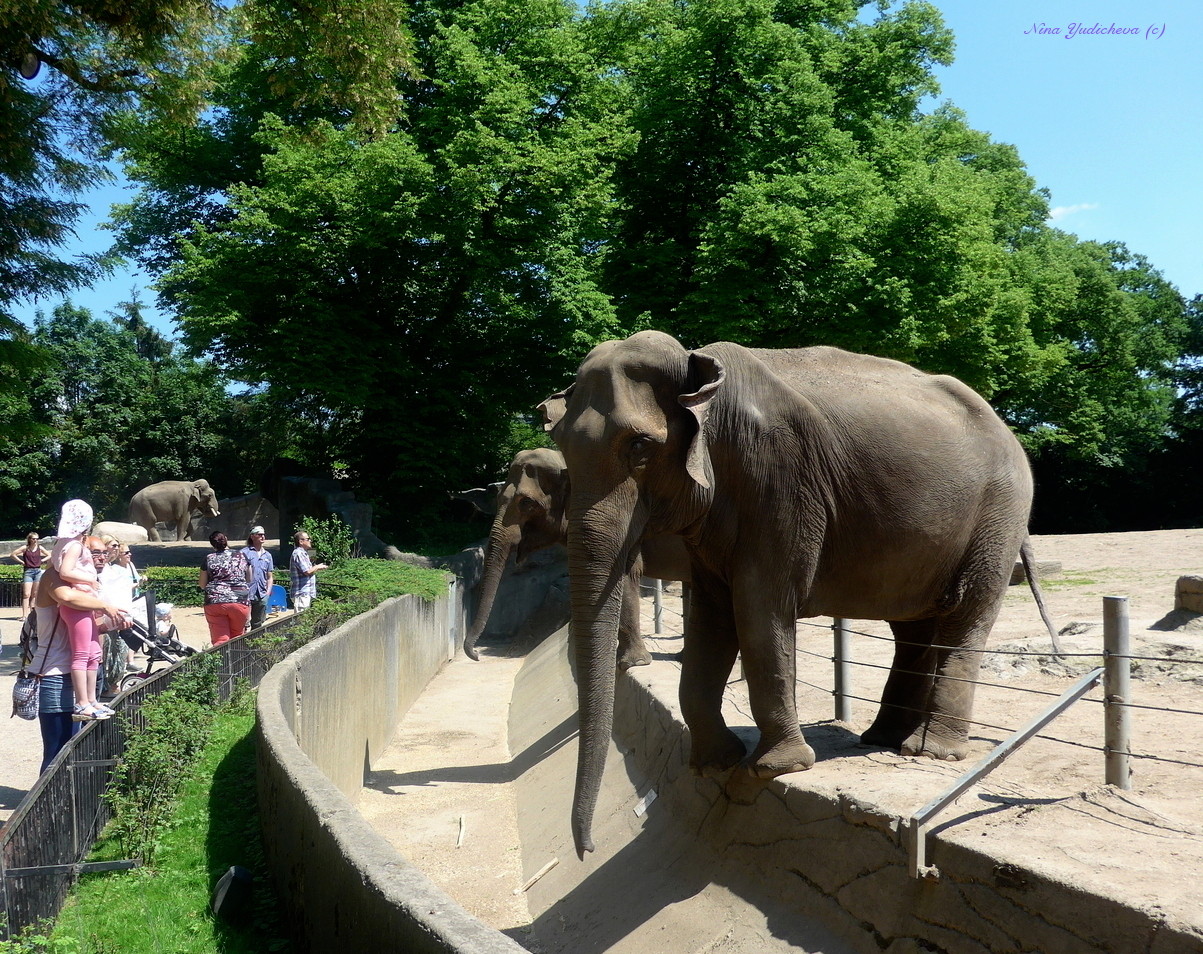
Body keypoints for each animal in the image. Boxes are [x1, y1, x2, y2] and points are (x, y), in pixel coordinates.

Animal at [540, 330, 1061, 856]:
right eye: (560, 443)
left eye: (641, 445)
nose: (587, 849)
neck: (697, 369)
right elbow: (712, 614)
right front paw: (714, 763)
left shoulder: (779, 481)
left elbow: (760, 607)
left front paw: (773, 767)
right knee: (912, 628)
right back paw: (881, 740)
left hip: (998, 515)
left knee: (964, 616)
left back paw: (930, 751)